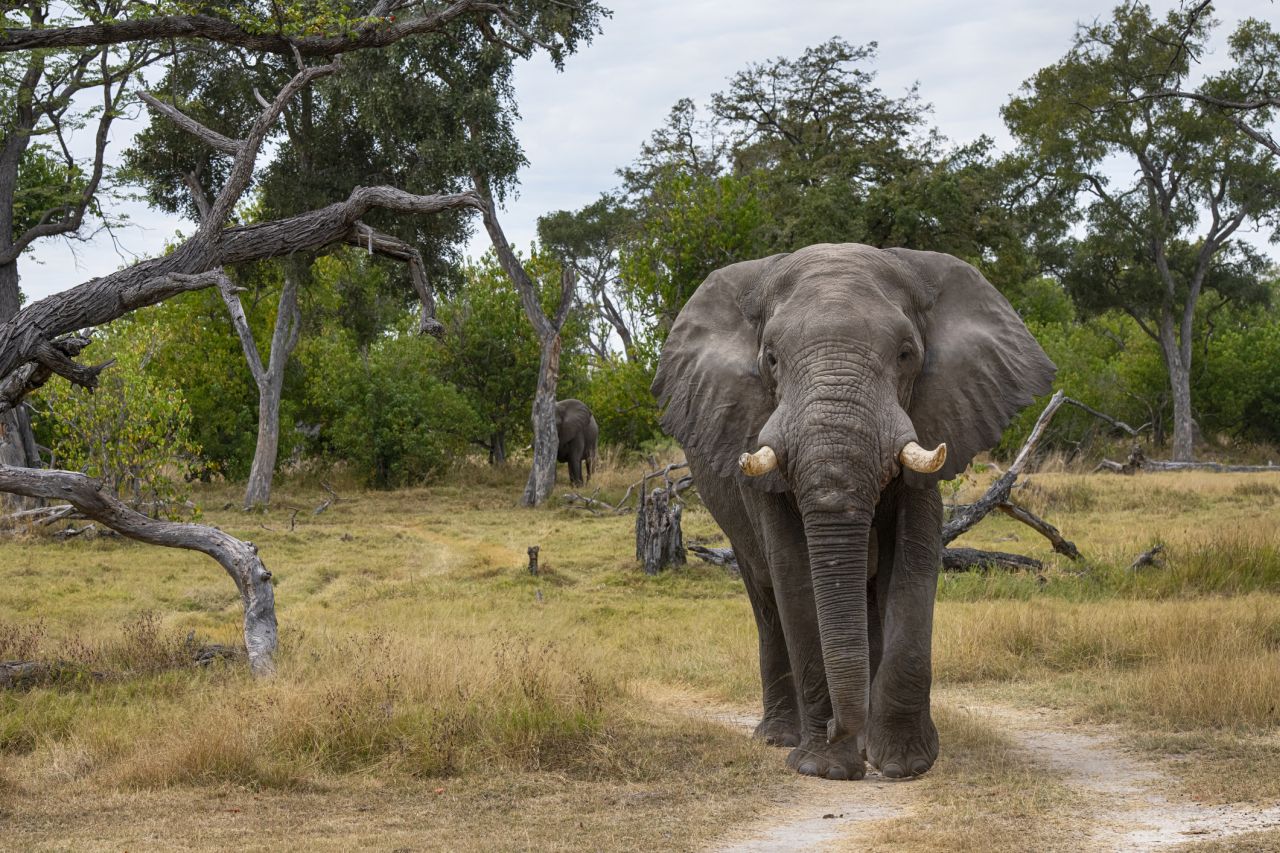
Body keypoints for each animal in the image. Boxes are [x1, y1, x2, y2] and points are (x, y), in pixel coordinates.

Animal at [655, 242, 1054, 778]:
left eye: (906, 354)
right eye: (771, 359)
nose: (834, 729)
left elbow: (912, 562)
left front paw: (905, 764)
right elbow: (794, 574)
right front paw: (823, 768)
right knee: (765, 599)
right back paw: (779, 737)